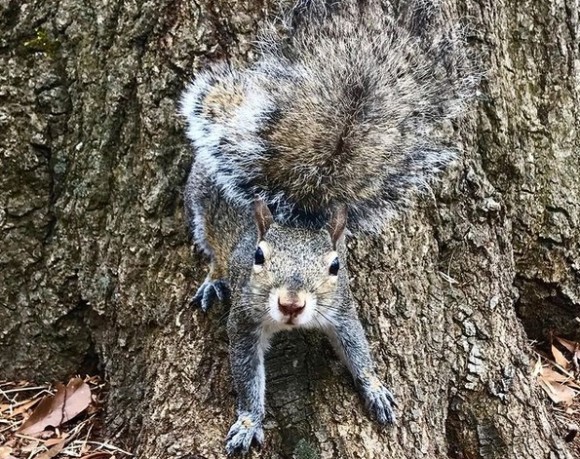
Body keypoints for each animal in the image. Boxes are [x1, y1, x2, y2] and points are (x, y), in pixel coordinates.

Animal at [181, 0, 476, 454]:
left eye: (335, 266)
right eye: (258, 257)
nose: (291, 304)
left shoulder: (341, 306)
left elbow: (357, 347)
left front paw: (374, 387)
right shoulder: (244, 318)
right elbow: (247, 376)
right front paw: (248, 421)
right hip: (198, 207)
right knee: (212, 251)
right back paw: (213, 279)